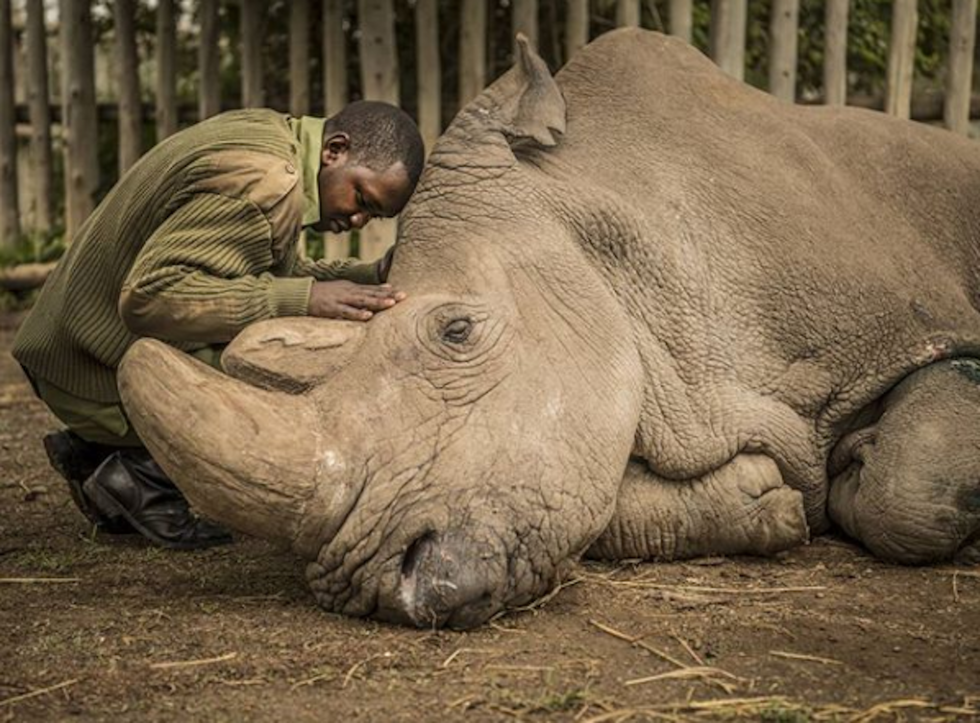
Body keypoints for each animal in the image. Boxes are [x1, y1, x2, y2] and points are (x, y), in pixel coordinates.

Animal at [118, 29, 980, 629]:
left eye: (458, 331)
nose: (375, 586)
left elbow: (910, 486)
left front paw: (858, 468)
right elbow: (595, 501)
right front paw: (769, 499)